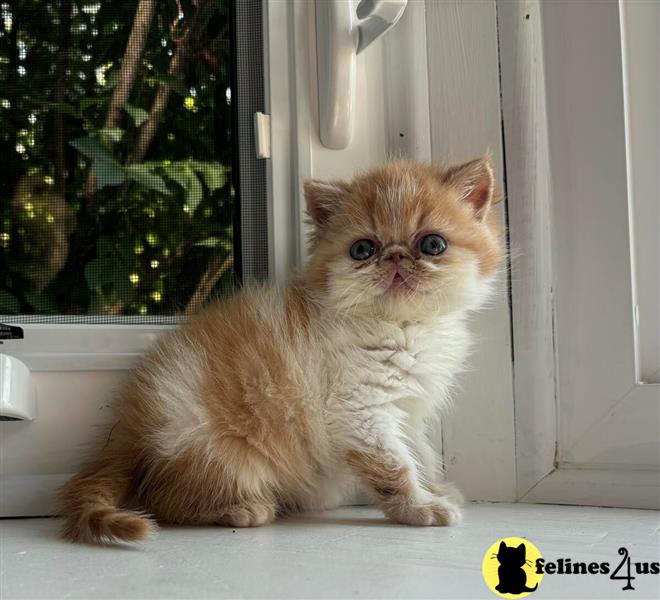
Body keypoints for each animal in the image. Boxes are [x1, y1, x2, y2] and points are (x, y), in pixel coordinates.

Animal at [60, 156, 506, 544]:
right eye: (363, 249)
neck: (404, 326)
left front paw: (438, 489)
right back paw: (241, 509)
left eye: (432, 244)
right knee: (164, 498)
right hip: (210, 449)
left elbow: (421, 452)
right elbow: (394, 464)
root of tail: (130, 428)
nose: (395, 256)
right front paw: (419, 508)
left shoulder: (409, 408)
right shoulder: (359, 410)